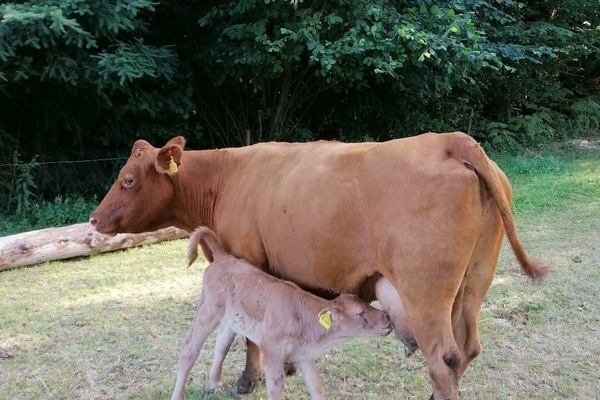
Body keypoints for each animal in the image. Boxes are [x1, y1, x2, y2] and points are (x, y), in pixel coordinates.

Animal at [170, 225, 394, 400]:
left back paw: (215, 384)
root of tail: (224, 257)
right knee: (189, 348)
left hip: (230, 320)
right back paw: (177, 394)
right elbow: (276, 388)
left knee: (221, 344)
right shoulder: (272, 351)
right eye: (360, 313)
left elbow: (316, 385)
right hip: (208, 309)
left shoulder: (304, 355)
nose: (387, 317)